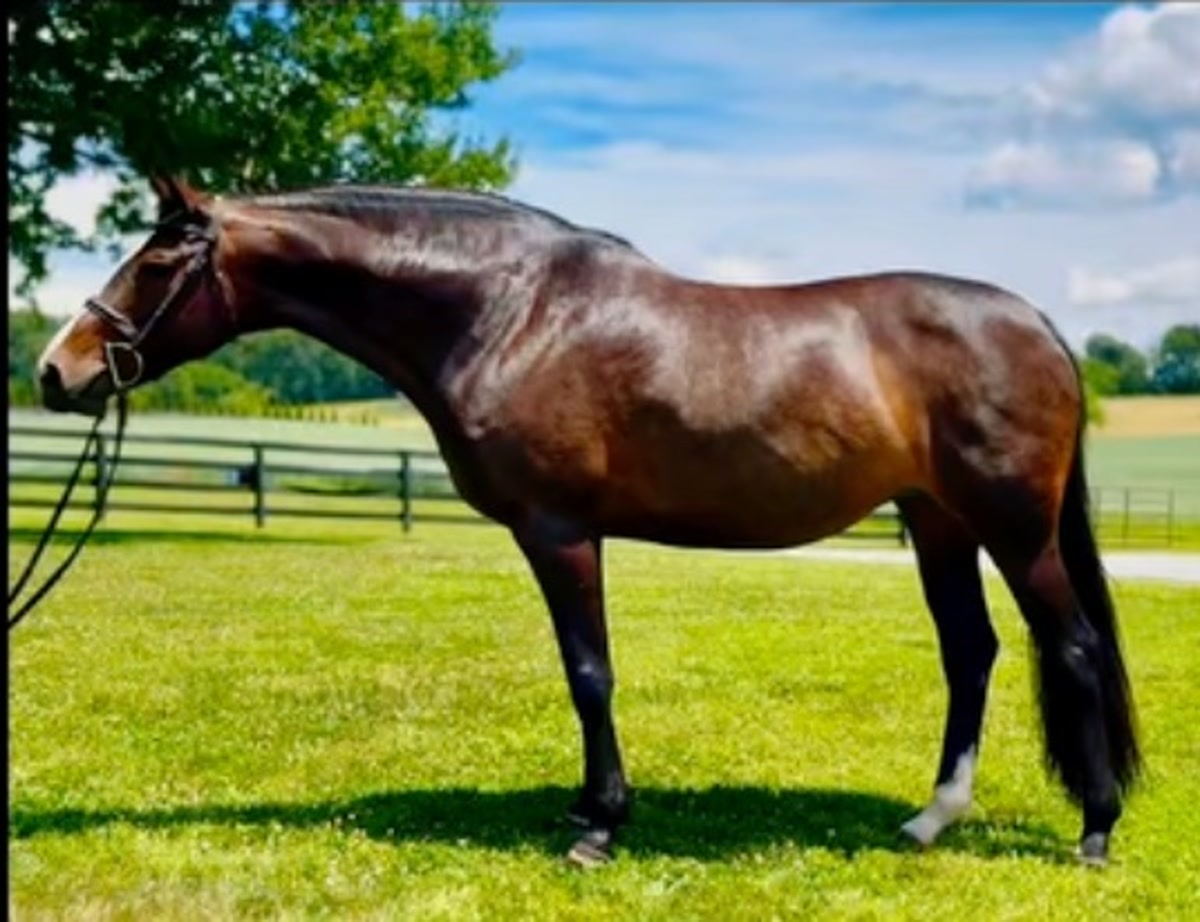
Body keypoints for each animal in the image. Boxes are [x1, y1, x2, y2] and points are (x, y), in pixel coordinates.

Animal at [36, 175, 1139, 867]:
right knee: (972, 651)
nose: (58, 370)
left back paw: (1093, 830)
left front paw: (599, 825)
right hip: (939, 522)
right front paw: (587, 806)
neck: (508, 310)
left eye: (154, 265)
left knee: (1074, 646)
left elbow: (588, 671)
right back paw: (929, 821)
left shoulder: (558, 528)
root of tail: (1039, 325)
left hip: (1014, 530)